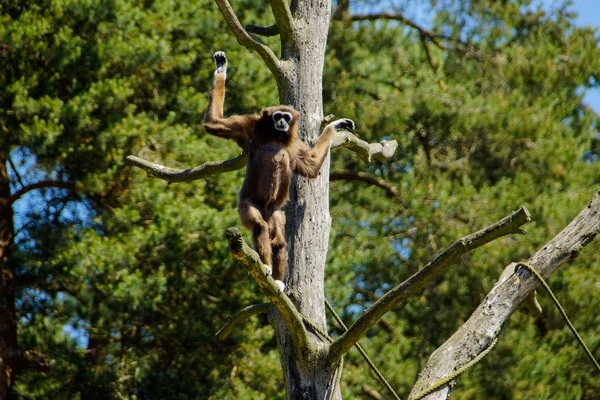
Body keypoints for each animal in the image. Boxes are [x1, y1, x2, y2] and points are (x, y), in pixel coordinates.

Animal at [204, 51, 354, 292]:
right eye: (277, 116)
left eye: (286, 116)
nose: (282, 121)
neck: (275, 136)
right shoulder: (249, 126)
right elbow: (213, 123)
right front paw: (220, 69)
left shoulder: (296, 146)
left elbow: (312, 166)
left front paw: (334, 126)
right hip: (247, 204)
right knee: (260, 226)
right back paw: (266, 265)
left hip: (274, 211)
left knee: (279, 240)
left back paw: (279, 280)